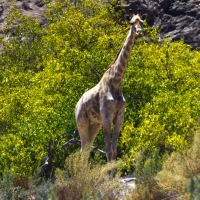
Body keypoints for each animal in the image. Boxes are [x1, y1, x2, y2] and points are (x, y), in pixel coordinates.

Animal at [75, 11, 144, 162]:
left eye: (141, 22)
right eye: (131, 23)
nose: (139, 32)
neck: (116, 82)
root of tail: (76, 105)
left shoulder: (119, 117)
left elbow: (114, 149)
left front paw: (113, 168)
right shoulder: (107, 116)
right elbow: (108, 149)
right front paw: (109, 169)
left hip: (95, 124)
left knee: (86, 149)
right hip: (81, 121)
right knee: (82, 150)